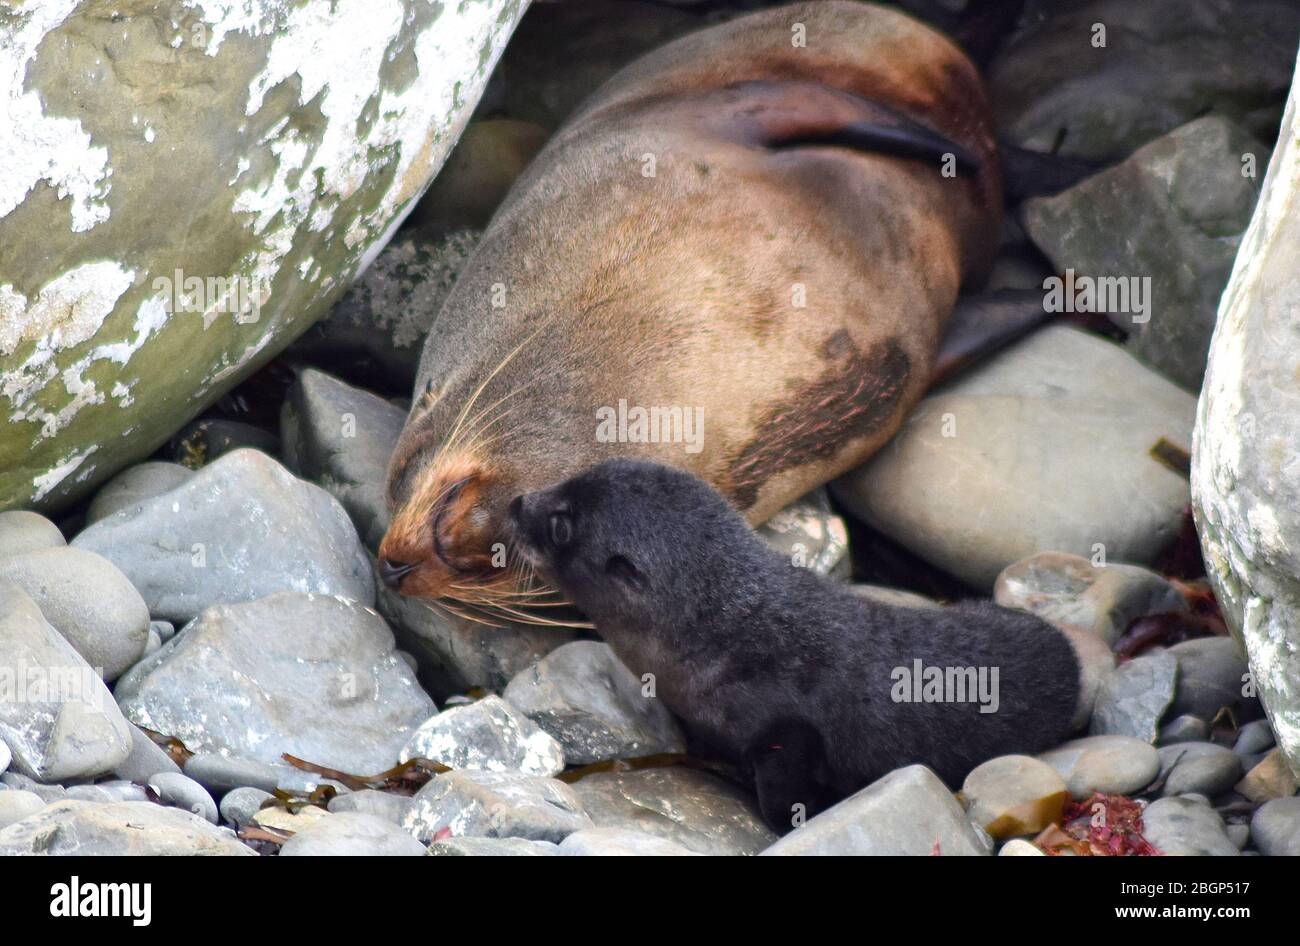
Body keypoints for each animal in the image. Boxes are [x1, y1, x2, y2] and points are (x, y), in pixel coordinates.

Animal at [510, 459, 1081, 832]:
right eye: (566, 480)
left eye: (560, 526)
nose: (515, 502)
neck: (730, 632)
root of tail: (1072, 661)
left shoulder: (786, 732)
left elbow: (787, 785)